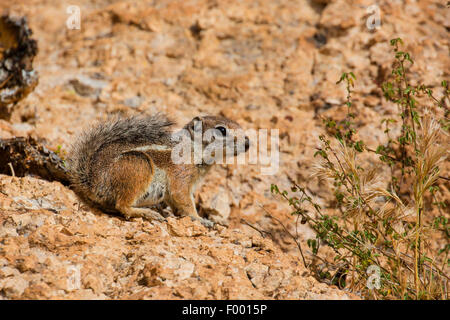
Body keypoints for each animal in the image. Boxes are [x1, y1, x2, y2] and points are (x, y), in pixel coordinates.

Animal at [67, 114, 250, 226]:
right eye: (221, 130)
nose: (248, 143)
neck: (194, 148)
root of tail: (92, 181)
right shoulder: (181, 174)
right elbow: (183, 198)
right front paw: (201, 219)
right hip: (139, 165)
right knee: (122, 206)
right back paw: (148, 213)